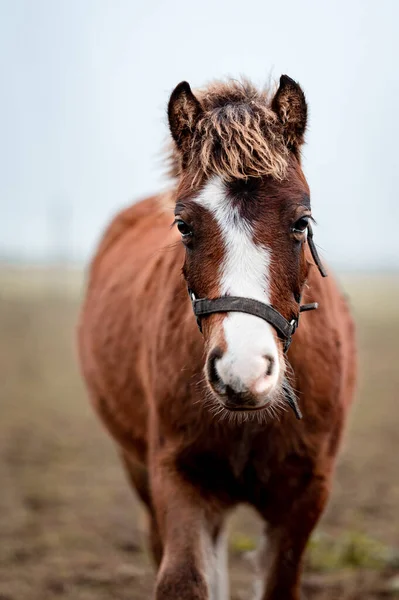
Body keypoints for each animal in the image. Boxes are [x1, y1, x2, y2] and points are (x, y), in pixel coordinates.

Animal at [77, 76, 356, 600]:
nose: (242, 371)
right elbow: (185, 578)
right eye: (184, 225)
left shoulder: (306, 493)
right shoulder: (178, 475)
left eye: (301, 222)